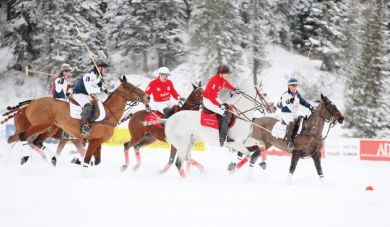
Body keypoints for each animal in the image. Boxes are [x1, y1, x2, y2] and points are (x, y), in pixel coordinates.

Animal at [7, 75, 149, 168]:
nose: (147, 97)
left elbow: (95, 161)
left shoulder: (96, 142)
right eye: (131, 87)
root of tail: (31, 103)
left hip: (50, 127)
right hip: (40, 125)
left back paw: (50, 159)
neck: (108, 114)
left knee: (33, 141)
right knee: (21, 137)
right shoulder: (91, 141)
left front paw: (76, 160)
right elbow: (86, 159)